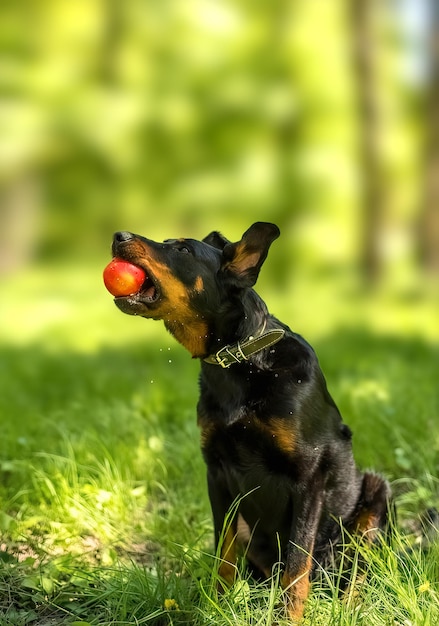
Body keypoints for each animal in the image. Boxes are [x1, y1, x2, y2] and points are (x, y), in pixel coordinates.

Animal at [109, 221, 392, 620]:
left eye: (182, 250)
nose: (118, 236)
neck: (240, 361)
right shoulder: (217, 472)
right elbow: (223, 553)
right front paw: (218, 605)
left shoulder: (308, 477)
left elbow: (296, 564)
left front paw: (289, 620)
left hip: (376, 496)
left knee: (358, 569)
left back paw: (350, 606)